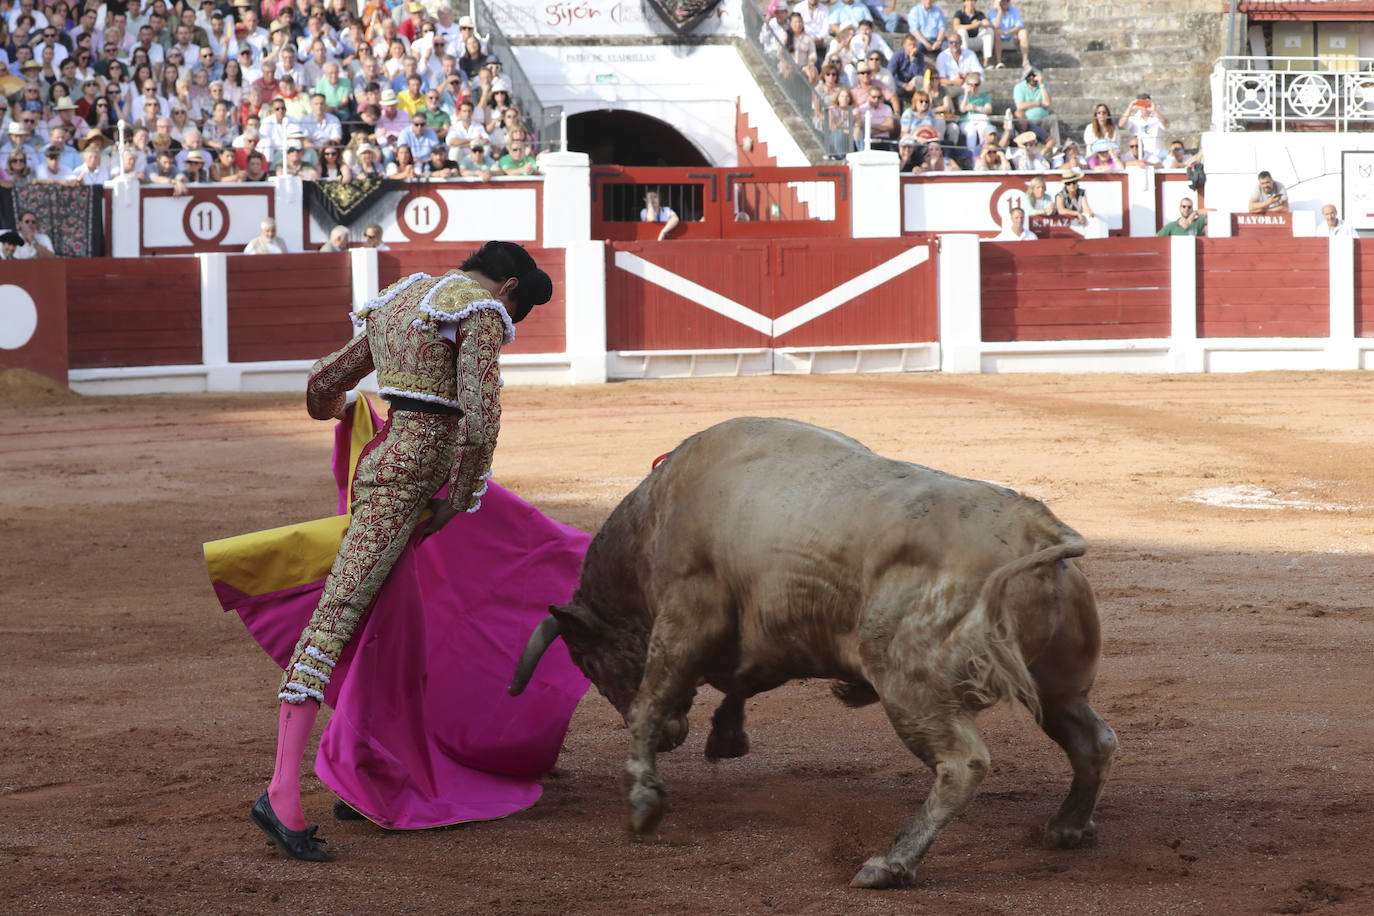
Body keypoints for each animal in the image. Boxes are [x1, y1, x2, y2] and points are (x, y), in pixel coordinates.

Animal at [513, 417, 1115, 889]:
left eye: (589, 664)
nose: (672, 737)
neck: (658, 513)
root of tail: (1037, 530)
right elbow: (742, 680)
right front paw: (726, 736)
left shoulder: (686, 614)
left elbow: (649, 699)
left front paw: (643, 802)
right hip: (1058, 686)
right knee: (1095, 741)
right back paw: (1066, 827)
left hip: (911, 685)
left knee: (962, 763)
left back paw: (889, 864)